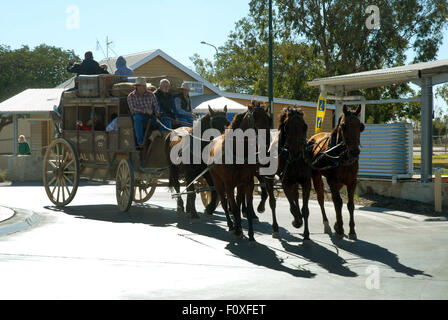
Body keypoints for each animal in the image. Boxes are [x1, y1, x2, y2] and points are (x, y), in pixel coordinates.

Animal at [209, 100, 270, 242]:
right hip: (218, 182)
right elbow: (234, 207)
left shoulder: (247, 182)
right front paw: (237, 230)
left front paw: (251, 235)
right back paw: (231, 225)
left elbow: (246, 205)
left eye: (269, 119)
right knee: (225, 202)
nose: (266, 143)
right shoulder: (229, 184)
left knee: (237, 201)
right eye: (254, 118)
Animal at [308, 105, 364, 240]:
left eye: (361, 126)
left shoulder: (352, 182)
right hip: (316, 176)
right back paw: (327, 224)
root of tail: (313, 138)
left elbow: (350, 204)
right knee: (321, 199)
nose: (354, 151)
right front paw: (340, 229)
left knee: (333, 198)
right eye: (343, 125)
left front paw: (351, 230)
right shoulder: (332, 180)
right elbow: (338, 203)